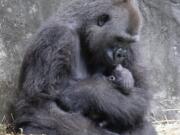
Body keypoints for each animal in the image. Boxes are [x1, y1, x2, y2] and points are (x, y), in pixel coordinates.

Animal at [13, 0, 156, 135]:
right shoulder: (56, 37)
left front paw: (89, 91)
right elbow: (38, 105)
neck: (83, 29)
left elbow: (141, 92)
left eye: (128, 42)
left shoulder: (132, 48)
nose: (122, 54)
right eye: (119, 39)